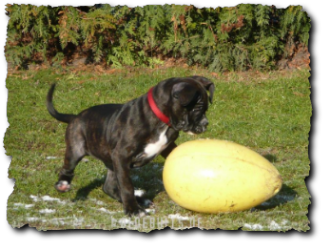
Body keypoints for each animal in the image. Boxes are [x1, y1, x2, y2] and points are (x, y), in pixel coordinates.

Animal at [47, 76, 215, 217]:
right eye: (197, 108)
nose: (205, 124)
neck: (162, 121)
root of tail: (75, 117)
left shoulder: (167, 145)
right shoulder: (122, 155)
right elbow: (127, 186)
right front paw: (133, 210)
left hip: (111, 163)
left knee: (108, 187)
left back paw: (141, 200)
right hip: (77, 148)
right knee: (67, 167)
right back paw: (63, 184)